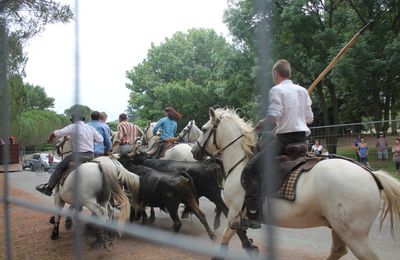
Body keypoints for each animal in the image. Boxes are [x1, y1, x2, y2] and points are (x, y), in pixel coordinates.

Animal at [190, 106, 400, 258]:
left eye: (204, 129)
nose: (193, 151)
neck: (240, 163)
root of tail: (371, 174)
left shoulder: (235, 211)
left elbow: (226, 239)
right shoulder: (236, 215)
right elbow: (239, 235)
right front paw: (252, 247)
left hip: (354, 236)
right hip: (339, 228)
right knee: (337, 251)